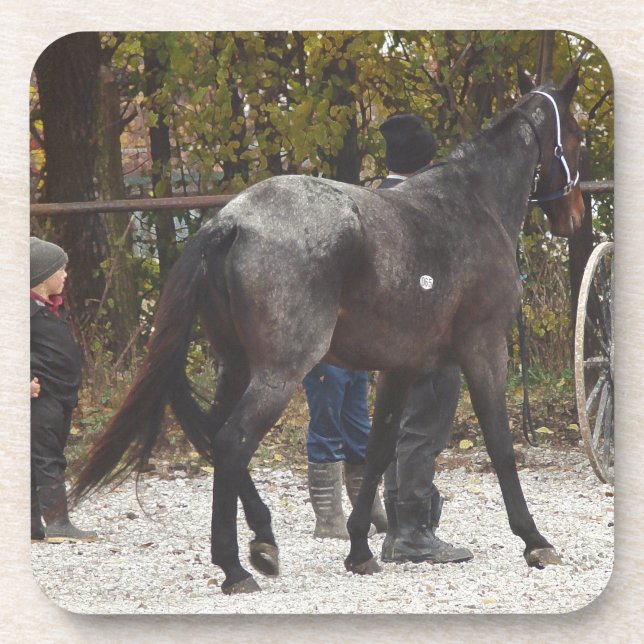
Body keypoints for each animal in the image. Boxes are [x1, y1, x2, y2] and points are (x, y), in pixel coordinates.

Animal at [72, 71, 585, 595]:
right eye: (577, 136)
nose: (575, 216)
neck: (473, 204)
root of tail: (232, 220)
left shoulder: (400, 369)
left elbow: (378, 452)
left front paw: (359, 548)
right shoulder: (485, 350)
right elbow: (501, 446)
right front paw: (535, 541)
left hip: (237, 366)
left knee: (217, 435)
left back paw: (263, 540)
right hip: (280, 373)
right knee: (232, 442)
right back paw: (235, 567)